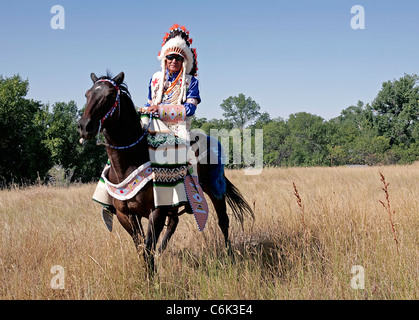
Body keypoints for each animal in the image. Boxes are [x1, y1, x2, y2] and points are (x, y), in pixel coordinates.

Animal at [78, 72, 254, 272]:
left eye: (108, 95)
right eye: (87, 94)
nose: (84, 126)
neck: (130, 161)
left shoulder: (157, 211)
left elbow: (148, 247)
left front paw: (151, 277)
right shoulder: (126, 215)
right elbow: (141, 247)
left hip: (214, 190)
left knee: (223, 221)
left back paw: (230, 255)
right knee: (173, 224)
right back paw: (162, 253)